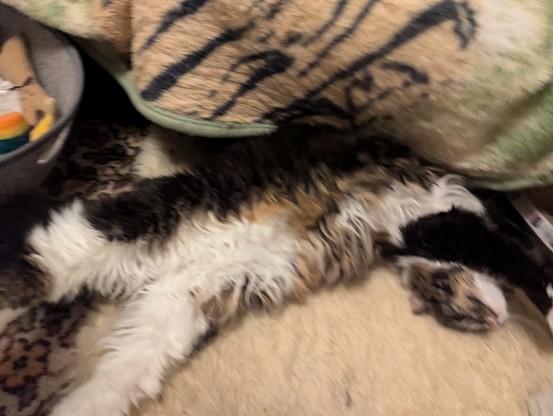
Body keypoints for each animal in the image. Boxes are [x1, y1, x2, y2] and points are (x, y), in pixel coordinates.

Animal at [0, 127, 548, 416]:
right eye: (452, 305)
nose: (493, 320)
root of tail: (161, 266)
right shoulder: (437, 217)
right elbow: (513, 255)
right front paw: (546, 290)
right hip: (125, 225)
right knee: (33, 268)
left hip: (170, 313)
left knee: (113, 378)